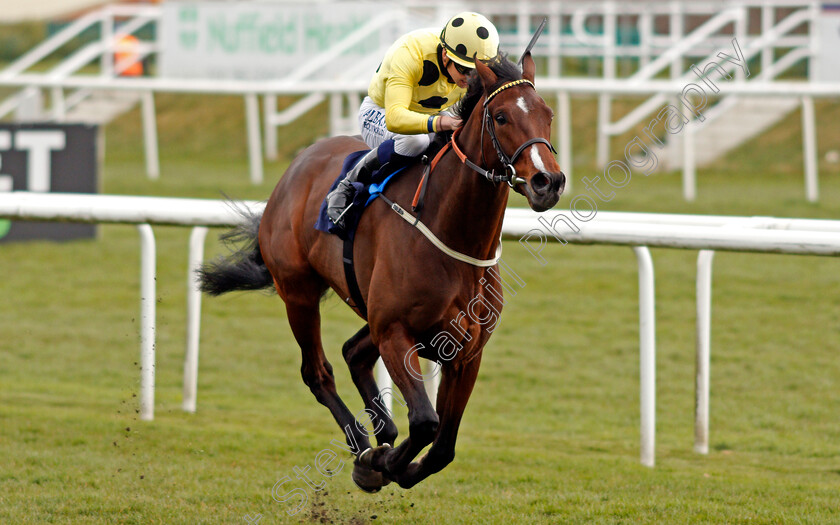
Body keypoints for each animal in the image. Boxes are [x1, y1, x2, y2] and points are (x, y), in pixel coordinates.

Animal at [199, 51, 564, 490]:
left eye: (547, 114)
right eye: (501, 116)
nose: (548, 181)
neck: (457, 240)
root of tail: (297, 165)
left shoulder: (465, 352)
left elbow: (443, 446)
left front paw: (394, 461)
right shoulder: (394, 331)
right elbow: (425, 422)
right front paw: (377, 464)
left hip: (367, 309)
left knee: (353, 352)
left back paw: (382, 433)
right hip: (298, 291)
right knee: (317, 371)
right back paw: (362, 443)